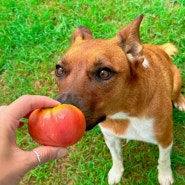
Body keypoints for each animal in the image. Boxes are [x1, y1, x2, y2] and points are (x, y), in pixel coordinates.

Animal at [55, 14, 185, 185]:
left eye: (104, 73)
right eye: (59, 70)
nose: (59, 114)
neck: (123, 113)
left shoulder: (165, 139)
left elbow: (163, 160)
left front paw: (164, 175)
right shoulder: (110, 138)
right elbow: (116, 158)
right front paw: (116, 173)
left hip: (176, 79)